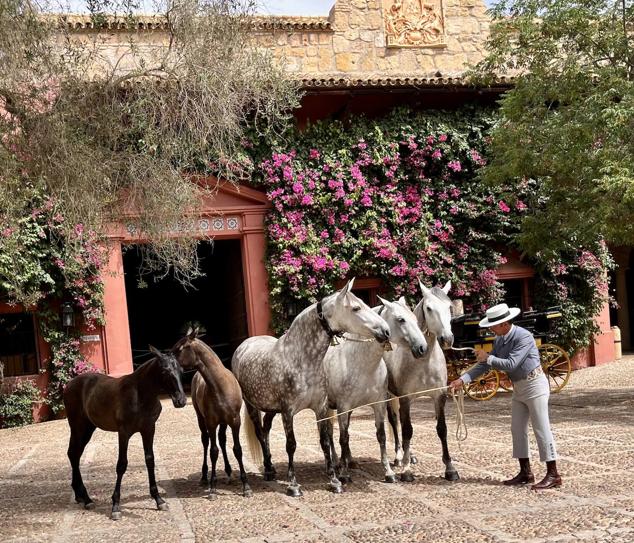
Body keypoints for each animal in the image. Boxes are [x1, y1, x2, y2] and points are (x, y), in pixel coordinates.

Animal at [63, 346, 186, 520]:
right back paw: (86, 498)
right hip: (77, 426)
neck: (140, 395)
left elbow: (150, 460)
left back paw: (81, 496)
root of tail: (69, 385)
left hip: (88, 428)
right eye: (164, 371)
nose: (181, 400)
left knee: (75, 454)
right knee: (73, 454)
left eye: (181, 370)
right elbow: (121, 464)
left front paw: (158, 500)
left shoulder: (149, 429)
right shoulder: (124, 432)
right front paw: (115, 506)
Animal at [174, 330, 253, 500]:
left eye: (180, 348)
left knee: (222, 440)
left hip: (223, 422)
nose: (165, 365)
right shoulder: (211, 423)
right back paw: (204, 477)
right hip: (201, 419)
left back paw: (229, 472)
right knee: (205, 442)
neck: (220, 385)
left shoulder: (235, 421)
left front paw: (246, 487)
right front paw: (212, 488)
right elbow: (213, 451)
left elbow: (237, 449)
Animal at [232, 280, 390, 498]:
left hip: (271, 409)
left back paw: (271, 467)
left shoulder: (320, 408)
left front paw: (334, 481)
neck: (300, 359)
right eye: (356, 308)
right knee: (259, 432)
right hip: (251, 406)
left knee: (265, 429)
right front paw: (293, 485)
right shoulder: (288, 412)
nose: (386, 330)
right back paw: (267, 470)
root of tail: (244, 346)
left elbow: (325, 442)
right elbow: (291, 445)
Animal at [324, 298, 428, 484]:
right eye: (401, 319)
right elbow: (343, 438)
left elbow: (381, 436)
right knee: (329, 432)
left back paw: (350, 461)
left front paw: (389, 472)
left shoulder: (378, 404)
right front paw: (343, 474)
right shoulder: (343, 407)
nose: (422, 347)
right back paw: (336, 462)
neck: (361, 364)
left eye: (415, 319)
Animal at [380, 282, 454, 482]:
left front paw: (450, 468)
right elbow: (407, 430)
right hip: (390, 396)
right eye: (429, 308)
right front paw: (406, 471)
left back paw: (410, 455)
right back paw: (399, 457)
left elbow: (442, 429)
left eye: (449, 306)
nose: (447, 339)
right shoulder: (406, 398)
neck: (424, 361)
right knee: (395, 422)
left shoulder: (439, 396)